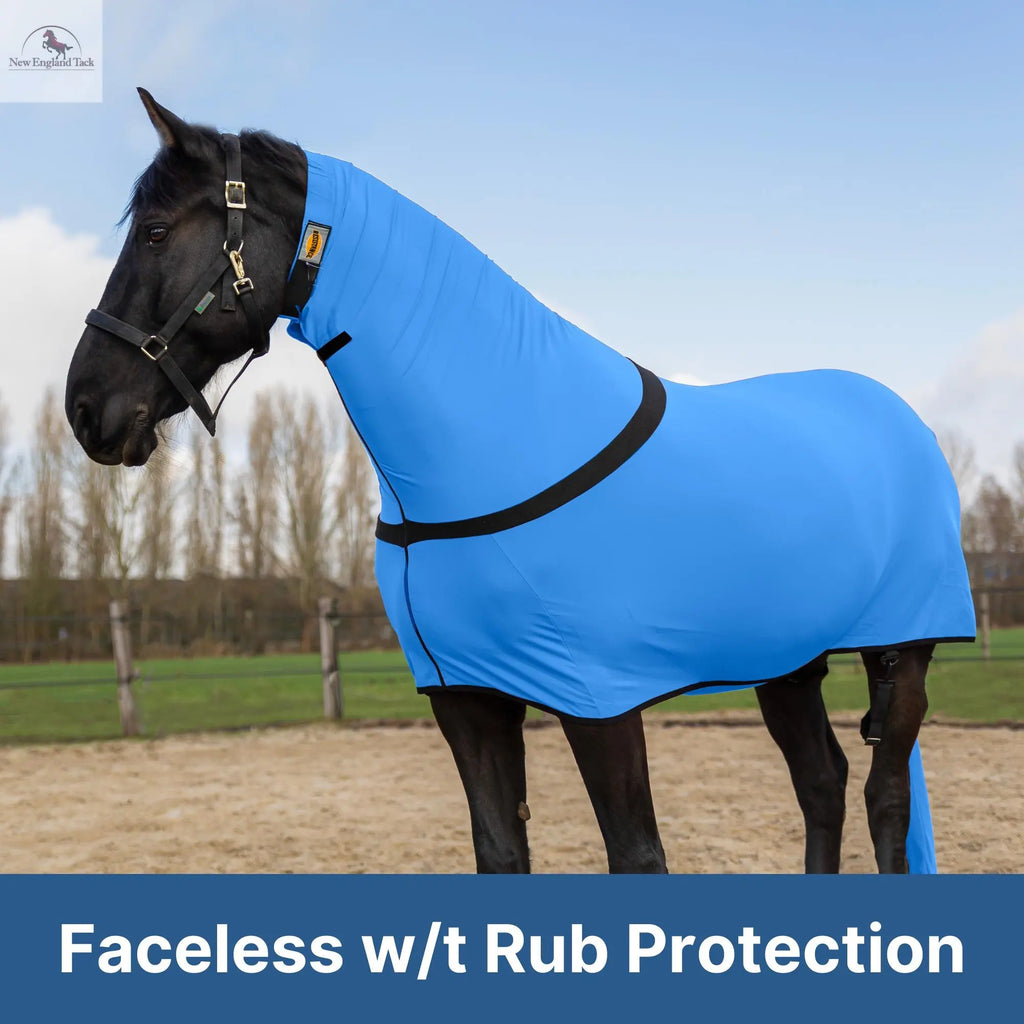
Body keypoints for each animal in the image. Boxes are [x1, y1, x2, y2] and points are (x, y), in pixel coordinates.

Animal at [65, 89, 975, 874]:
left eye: (154, 231)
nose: (86, 409)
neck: (495, 447)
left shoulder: (600, 702)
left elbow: (637, 856)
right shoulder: (467, 700)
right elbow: (501, 853)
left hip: (905, 653)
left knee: (883, 800)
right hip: (787, 659)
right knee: (821, 784)